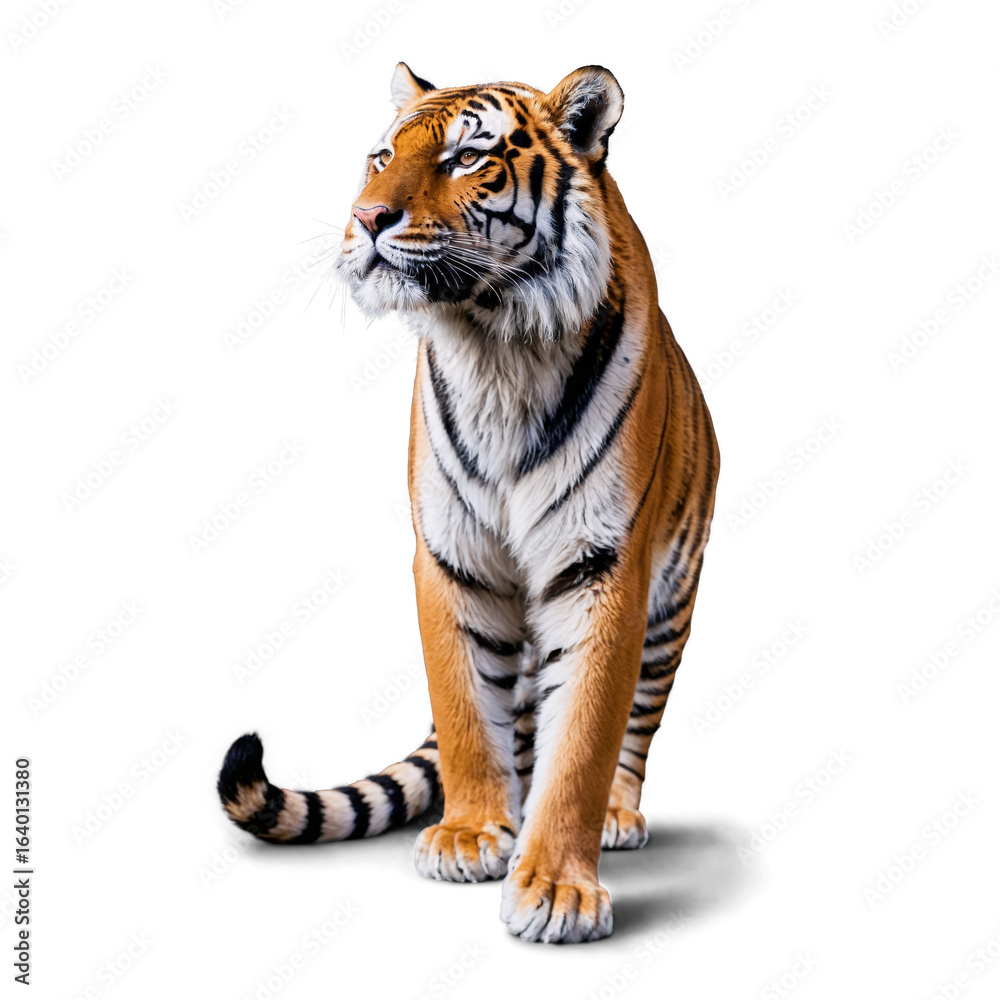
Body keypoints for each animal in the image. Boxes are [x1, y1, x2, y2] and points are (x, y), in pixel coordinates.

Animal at [217, 62, 719, 944]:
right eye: (382, 156)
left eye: (465, 159)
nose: (366, 218)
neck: (494, 342)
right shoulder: (449, 558)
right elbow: (461, 708)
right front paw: (469, 833)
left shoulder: (603, 568)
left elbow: (584, 740)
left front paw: (555, 888)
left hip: (672, 607)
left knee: (633, 729)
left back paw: (617, 817)